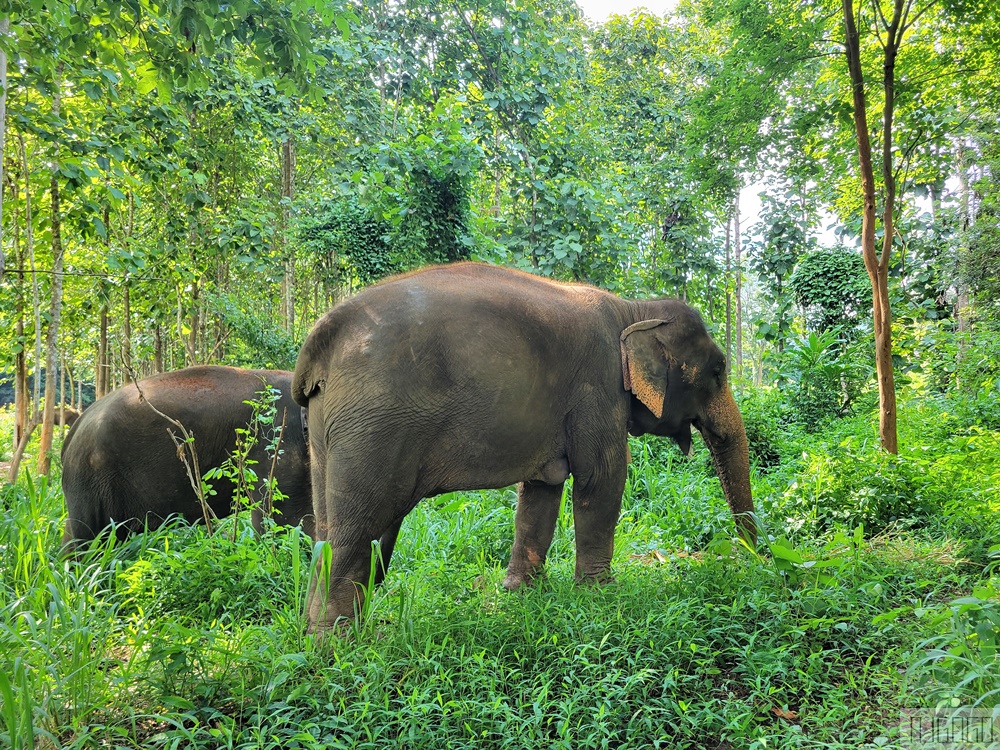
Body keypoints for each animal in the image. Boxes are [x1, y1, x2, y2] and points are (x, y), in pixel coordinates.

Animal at [293, 262, 755, 630]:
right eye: (718, 370)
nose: (752, 556)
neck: (634, 309)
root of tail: (319, 339)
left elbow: (542, 489)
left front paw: (522, 594)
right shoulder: (598, 386)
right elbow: (602, 477)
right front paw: (601, 595)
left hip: (328, 425)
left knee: (333, 529)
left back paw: (321, 637)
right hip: (374, 424)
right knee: (360, 528)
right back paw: (338, 648)